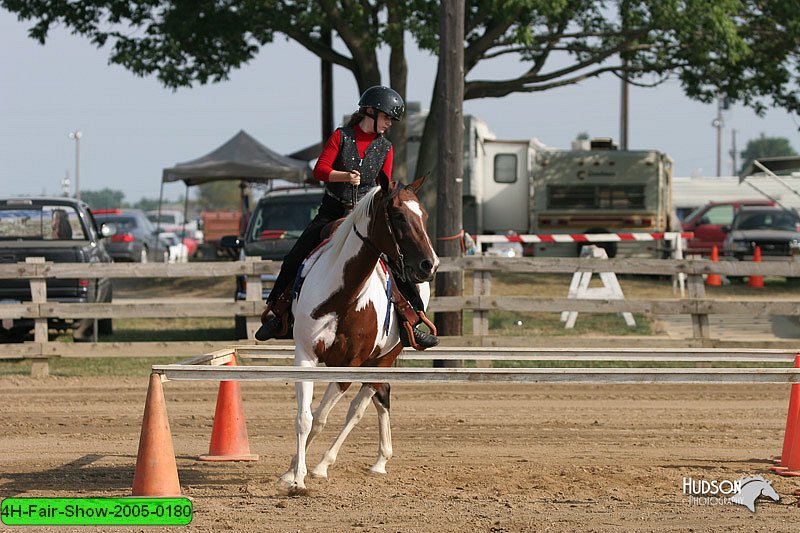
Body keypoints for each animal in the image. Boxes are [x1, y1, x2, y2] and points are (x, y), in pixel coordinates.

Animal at [282, 172, 440, 492]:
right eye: (398, 216)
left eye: (425, 215)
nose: (429, 265)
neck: (342, 298)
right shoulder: (305, 356)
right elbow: (305, 418)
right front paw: (294, 476)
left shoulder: (349, 366)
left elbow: (322, 417)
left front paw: (301, 470)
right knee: (379, 395)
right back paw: (377, 460)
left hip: (384, 357)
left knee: (361, 405)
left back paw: (330, 464)